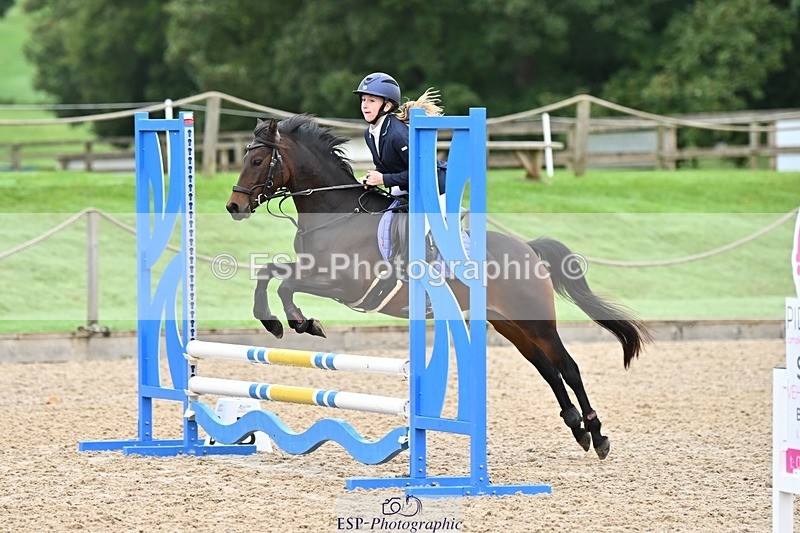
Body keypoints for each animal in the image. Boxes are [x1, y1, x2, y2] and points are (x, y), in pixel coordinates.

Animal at [225, 114, 650, 459]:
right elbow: (269, 272)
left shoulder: (340, 284)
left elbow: (286, 284)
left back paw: (597, 435)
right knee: (547, 369)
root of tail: (528, 249)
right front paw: (274, 323)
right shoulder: (314, 271)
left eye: (258, 161)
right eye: (244, 159)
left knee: (568, 367)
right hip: (508, 324)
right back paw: (578, 428)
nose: (234, 207)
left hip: (537, 322)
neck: (337, 214)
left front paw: (300, 323)